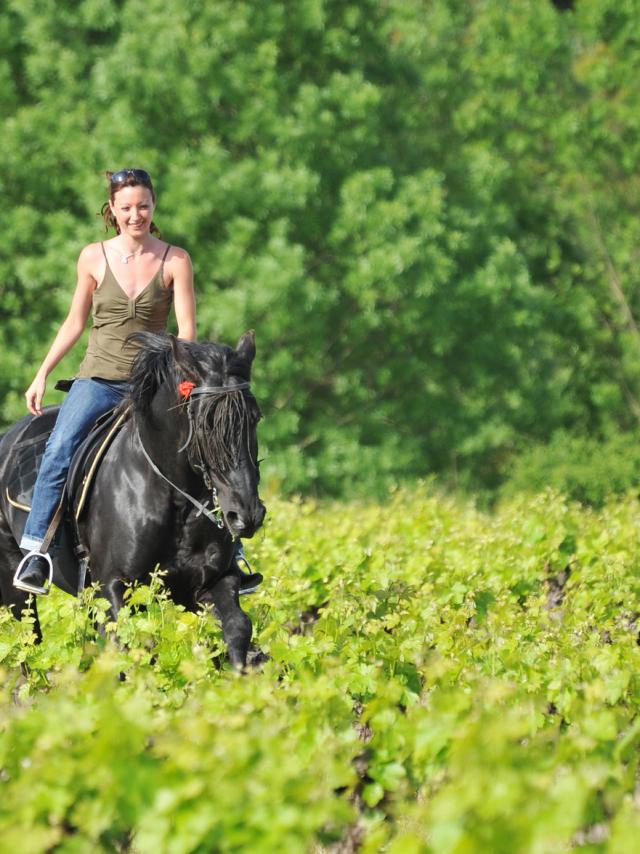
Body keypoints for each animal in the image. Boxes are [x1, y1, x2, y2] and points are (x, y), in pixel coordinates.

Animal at [0, 332, 264, 672]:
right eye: (206, 423)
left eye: (255, 418)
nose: (247, 515)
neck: (176, 501)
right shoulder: (115, 586)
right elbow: (128, 648)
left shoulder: (210, 583)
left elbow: (237, 629)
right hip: (13, 578)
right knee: (27, 640)